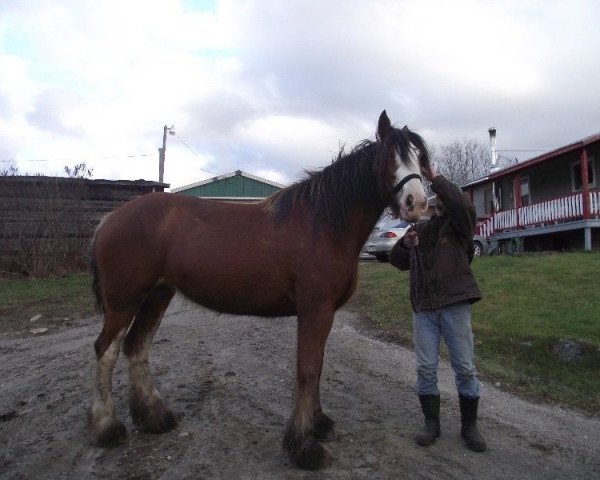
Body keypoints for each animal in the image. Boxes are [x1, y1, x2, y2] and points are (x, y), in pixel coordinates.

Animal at [89, 109, 428, 468]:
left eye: (419, 158)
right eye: (390, 158)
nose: (417, 203)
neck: (323, 225)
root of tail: (110, 219)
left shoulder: (324, 314)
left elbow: (318, 366)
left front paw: (319, 424)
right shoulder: (315, 310)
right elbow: (307, 370)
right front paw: (303, 446)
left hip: (157, 296)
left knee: (137, 347)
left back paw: (154, 417)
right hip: (124, 302)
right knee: (106, 351)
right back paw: (107, 428)